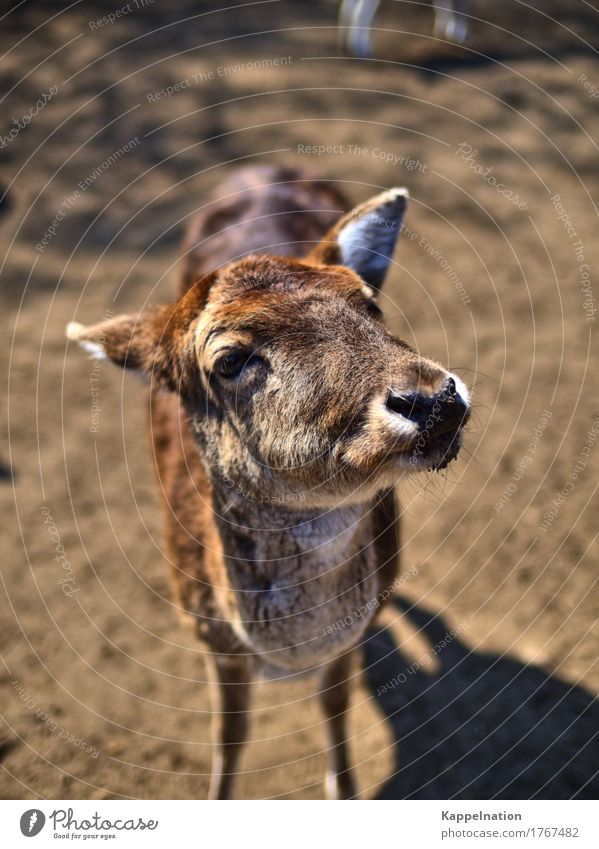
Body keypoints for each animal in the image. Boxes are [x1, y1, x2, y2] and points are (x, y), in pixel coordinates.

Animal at [68, 164, 472, 796]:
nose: (433, 399)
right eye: (230, 360)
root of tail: (263, 169)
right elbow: (230, 735)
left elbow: (334, 706)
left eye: (369, 303)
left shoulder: (352, 632)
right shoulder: (210, 637)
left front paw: (344, 791)